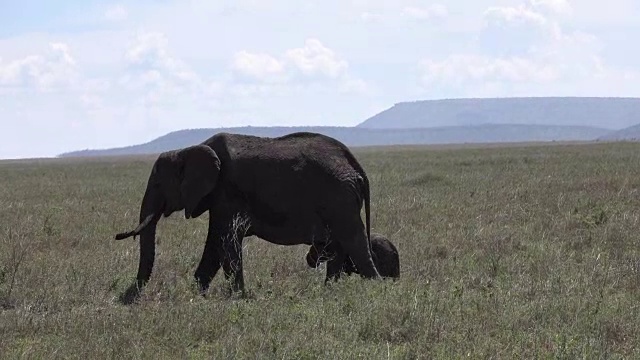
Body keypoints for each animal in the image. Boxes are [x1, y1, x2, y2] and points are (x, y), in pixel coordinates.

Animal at [115, 131, 380, 300]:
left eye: (158, 184)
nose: (132, 295)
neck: (188, 150)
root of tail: (356, 166)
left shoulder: (227, 192)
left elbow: (225, 241)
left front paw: (237, 297)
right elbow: (215, 243)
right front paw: (199, 294)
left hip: (340, 198)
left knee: (354, 242)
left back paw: (376, 290)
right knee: (340, 246)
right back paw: (329, 291)